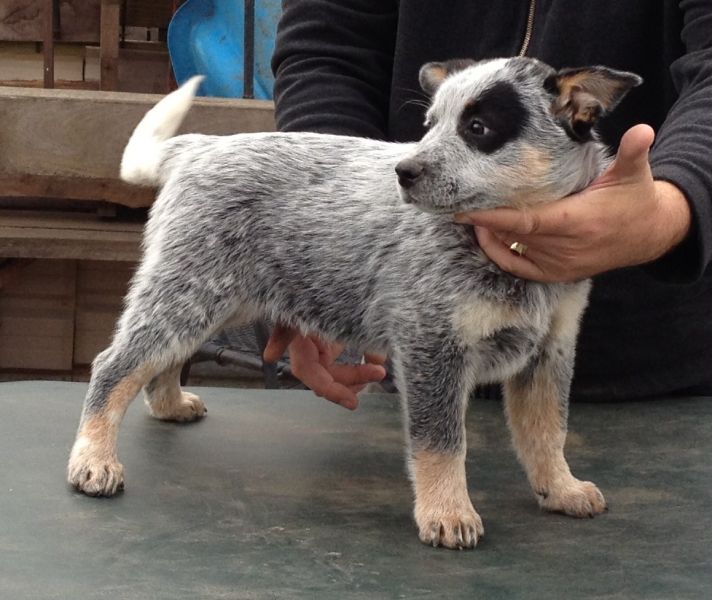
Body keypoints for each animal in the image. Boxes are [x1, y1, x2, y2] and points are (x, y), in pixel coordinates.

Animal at [68, 57, 641, 549]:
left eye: (478, 128)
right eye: (429, 125)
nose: (404, 171)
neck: (502, 257)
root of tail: (198, 148)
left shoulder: (549, 350)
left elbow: (548, 431)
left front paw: (561, 488)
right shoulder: (432, 345)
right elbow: (442, 441)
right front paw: (447, 512)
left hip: (212, 299)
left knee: (160, 360)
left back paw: (169, 404)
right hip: (189, 290)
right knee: (114, 365)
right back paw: (94, 459)